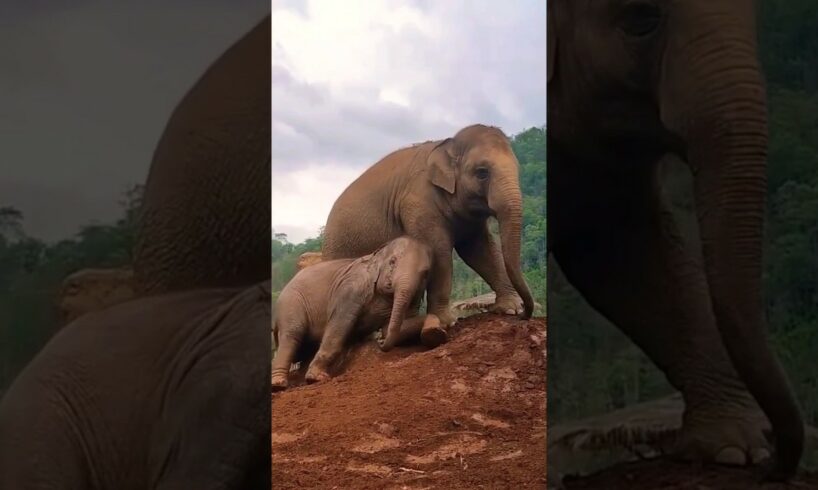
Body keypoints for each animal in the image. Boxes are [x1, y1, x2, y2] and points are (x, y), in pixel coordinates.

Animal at [272, 235, 440, 388]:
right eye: (392, 261)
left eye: (425, 273)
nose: (380, 341)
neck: (377, 254)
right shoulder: (351, 288)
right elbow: (340, 324)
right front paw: (316, 378)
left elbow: (395, 326)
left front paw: (435, 330)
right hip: (290, 303)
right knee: (292, 335)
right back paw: (279, 384)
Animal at [318, 124, 536, 328]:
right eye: (482, 172)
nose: (525, 314)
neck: (446, 145)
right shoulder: (418, 204)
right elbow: (438, 251)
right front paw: (446, 322)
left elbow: (480, 250)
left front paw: (510, 308)